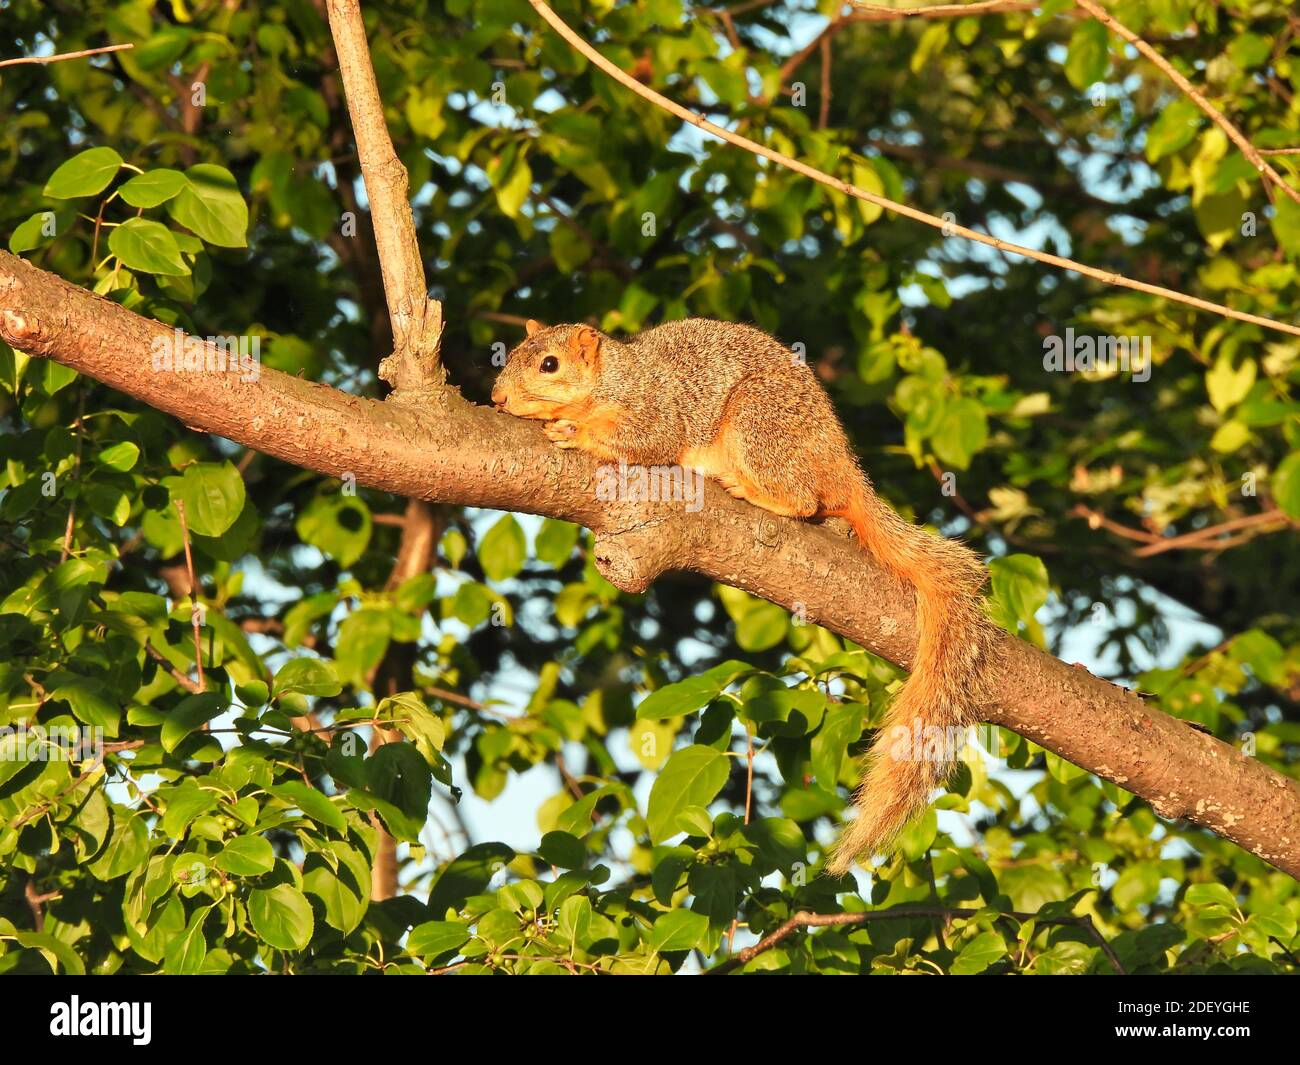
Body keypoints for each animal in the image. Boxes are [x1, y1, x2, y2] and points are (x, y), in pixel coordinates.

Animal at [493, 318, 993, 873]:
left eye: (550, 364)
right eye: (513, 352)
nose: (496, 397)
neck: (614, 378)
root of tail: (839, 460)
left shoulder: (656, 407)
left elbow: (647, 440)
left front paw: (573, 432)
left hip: (759, 424)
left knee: (802, 500)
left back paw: (750, 488)